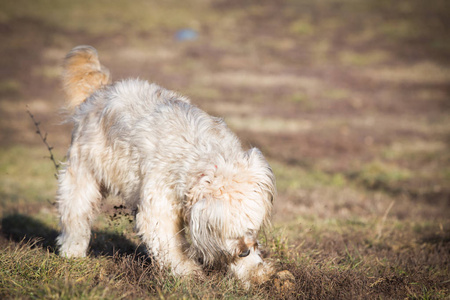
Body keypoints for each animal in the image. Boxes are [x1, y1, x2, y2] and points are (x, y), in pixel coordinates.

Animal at [55, 45, 274, 288]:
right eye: (227, 229)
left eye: (251, 225)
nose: (245, 251)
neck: (204, 157)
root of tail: (100, 91)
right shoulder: (159, 207)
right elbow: (169, 244)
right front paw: (187, 272)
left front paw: (253, 271)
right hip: (83, 174)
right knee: (76, 213)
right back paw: (72, 252)